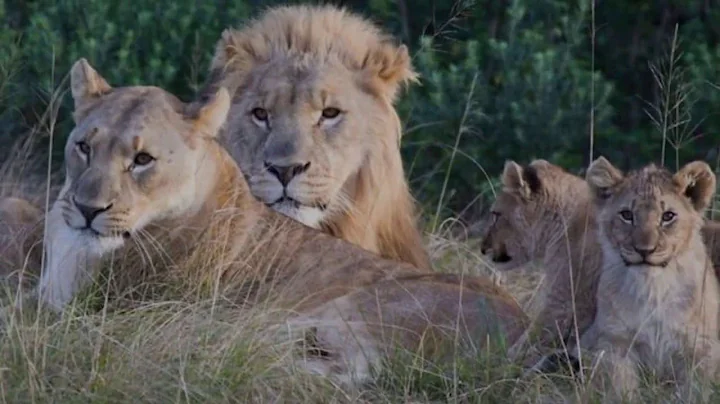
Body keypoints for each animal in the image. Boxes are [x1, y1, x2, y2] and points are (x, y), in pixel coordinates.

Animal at [26, 58, 527, 386]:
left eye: (143, 159)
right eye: (84, 146)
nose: (88, 208)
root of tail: (528, 341)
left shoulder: (99, 314)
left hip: (344, 310)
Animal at [578, 156, 720, 400]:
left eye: (668, 216)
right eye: (627, 215)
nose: (645, 250)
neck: (653, 288)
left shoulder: (701, 348)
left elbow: (694, 390)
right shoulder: (614, 343)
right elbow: (620, 387)